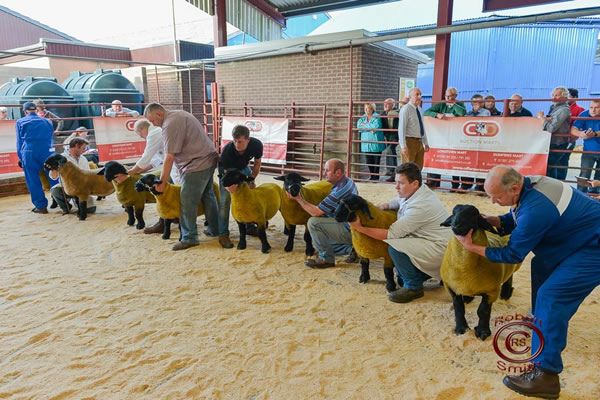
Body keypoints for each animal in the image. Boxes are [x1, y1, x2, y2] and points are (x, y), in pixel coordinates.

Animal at [440, 204, 522, 341]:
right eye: (453, 213)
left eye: (474, 215)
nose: (456, 225)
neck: (464, 269)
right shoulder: (451, 287)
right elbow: (458, 308)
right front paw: (461, 328)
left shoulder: (491, 291)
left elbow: (482, 311)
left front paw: (483, 331)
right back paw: (468, 297)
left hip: (515, 262)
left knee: (510, 275)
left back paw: (506, 292)